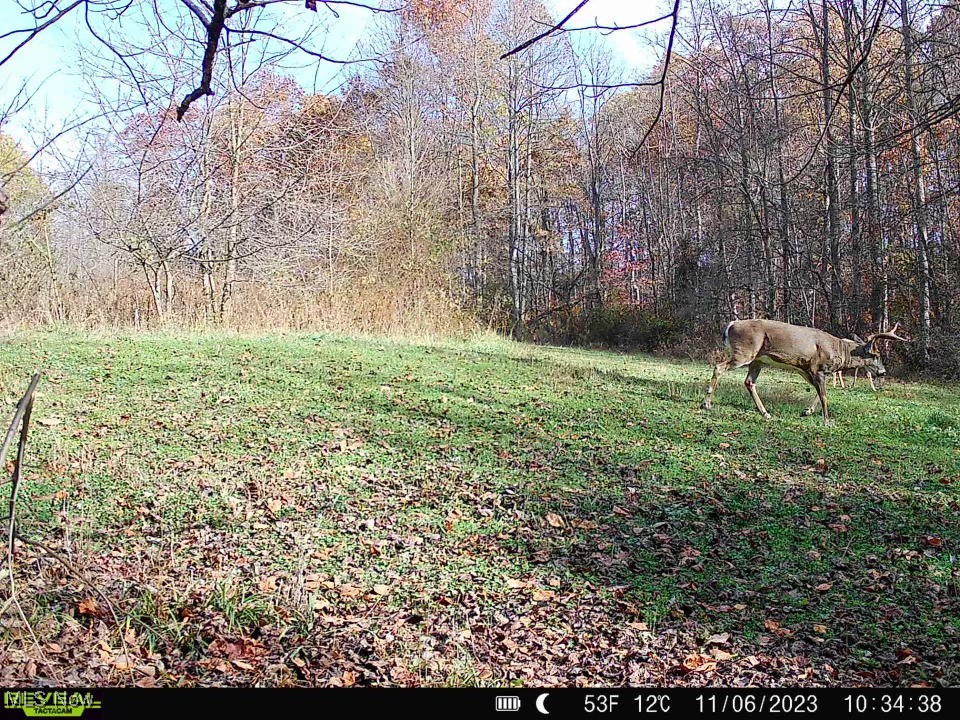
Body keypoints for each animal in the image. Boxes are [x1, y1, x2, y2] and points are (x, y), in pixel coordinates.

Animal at [696, 320, 908, 422]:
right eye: (876, 355)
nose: (883, 372)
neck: (839, 350)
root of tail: (730, 325)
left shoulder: (806, 369)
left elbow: (819, 392)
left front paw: (807, 411)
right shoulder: (817, 367)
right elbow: (824, 394)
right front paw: (827, 420)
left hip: (758, 360)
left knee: (749, 382)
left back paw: (765, 413)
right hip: (745, 352)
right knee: (719, 366)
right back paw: (707, 403)